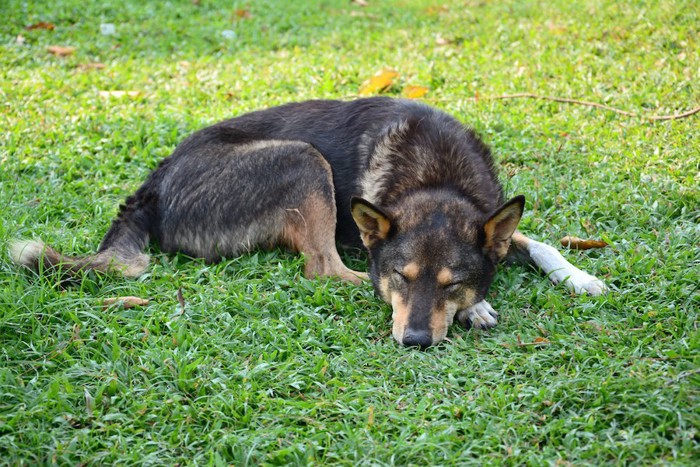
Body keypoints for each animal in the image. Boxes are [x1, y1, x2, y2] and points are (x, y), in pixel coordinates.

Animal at [10, 98, 608, 348]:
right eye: (402, 277)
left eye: (450, 281)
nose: (414, 341)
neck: (436, 177)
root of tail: (150, 189)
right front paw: (477, 306)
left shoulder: (494, 220)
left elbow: (537, 243)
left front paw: (579, 277)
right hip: (302, 159)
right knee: (326, 269)